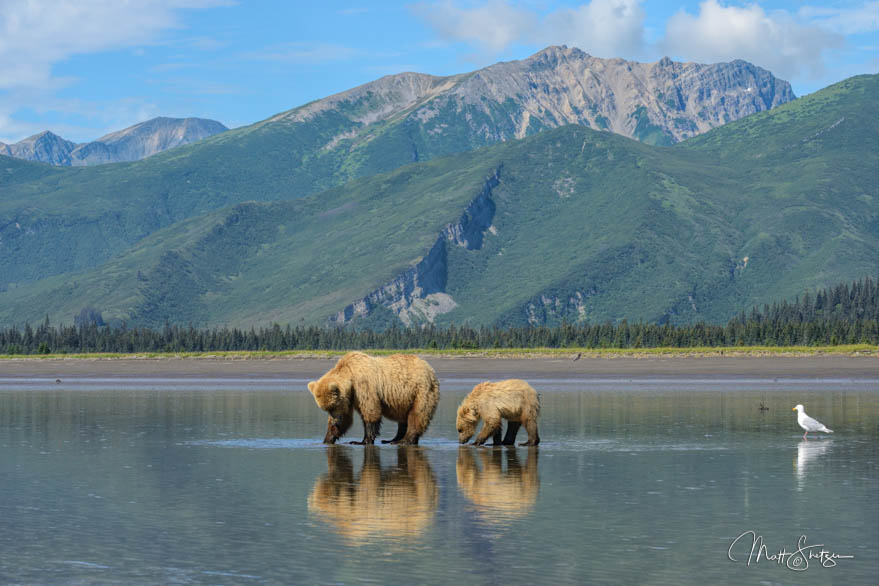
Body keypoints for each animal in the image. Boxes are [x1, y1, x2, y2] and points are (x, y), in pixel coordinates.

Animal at [308, 352, 440, 442]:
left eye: (332, 407)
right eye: (326, 409)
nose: (335, 421)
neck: (350, 375)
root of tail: (431, 370)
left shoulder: (363, 386)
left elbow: (370, 411)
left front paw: (363, 441)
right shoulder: (350, 397)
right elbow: (346, 418)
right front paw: (328, 438)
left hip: (421, 391)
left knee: (417, 414)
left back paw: (405, 440)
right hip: (404, 399)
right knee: (403, 418)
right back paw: (393, 439)